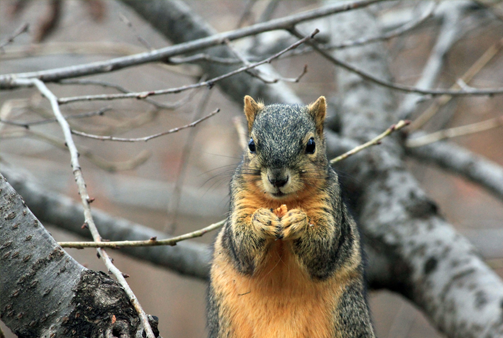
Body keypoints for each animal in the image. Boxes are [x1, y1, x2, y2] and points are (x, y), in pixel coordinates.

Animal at [207, 95, 376, 338]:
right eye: (251, 145)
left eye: (311, 145)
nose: (277, 179)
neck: (280, 203)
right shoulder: (240, 198)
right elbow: (241, 247)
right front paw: (260, 221)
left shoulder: (329, 202)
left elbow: (323, 248)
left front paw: (299, 223)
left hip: (347, 314)